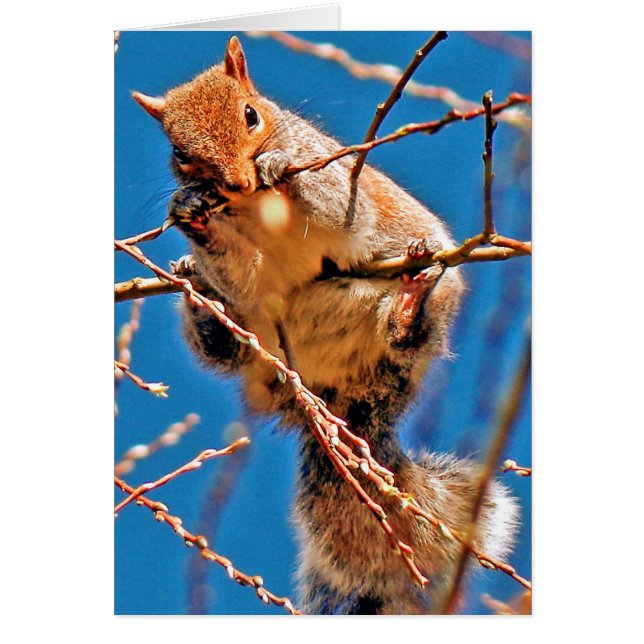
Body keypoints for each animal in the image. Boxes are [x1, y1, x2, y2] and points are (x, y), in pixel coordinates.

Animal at [132, 36, 519, 615]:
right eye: (181, 154)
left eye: (251, 115)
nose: (237, 182)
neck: (255, 202)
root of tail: (337, 393)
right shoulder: (250, 277)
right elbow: (241, 276)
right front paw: (189, 209)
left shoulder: (341, 184)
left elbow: (338, 208)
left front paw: (279, 162)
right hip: (257, 339)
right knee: (225, 338)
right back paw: (198, 296)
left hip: (432, 297)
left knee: (409, 338)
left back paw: (409, 309)